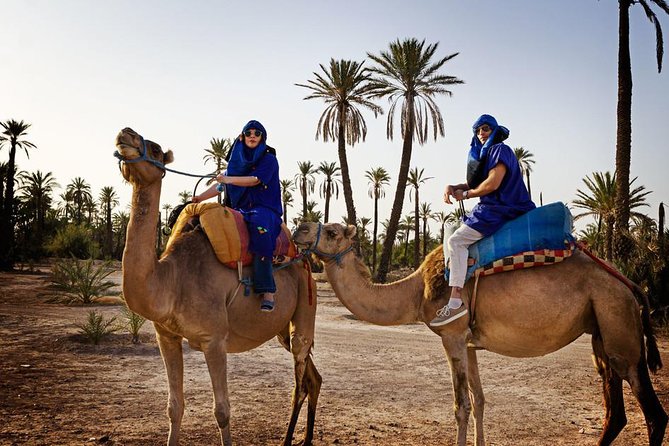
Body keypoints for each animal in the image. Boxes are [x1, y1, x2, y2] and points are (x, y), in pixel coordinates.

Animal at [114, 127, 321, 446]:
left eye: (156, 148)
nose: (126, 133)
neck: (172, 280)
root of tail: (305, 262)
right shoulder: (167, 337)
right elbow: (174, 407)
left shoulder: (214, 340)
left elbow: (222, 411)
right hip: (281, 330)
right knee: (313, 378)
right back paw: (306, 438)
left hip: (305, 307)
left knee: (300, 380)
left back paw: (288, 439)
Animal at [292, 221, 667, 446]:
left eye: (332, 232)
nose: (298, 227)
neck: (414, 292)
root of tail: (630, 284)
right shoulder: (470, 344)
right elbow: (479, 400)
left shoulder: (452, 336)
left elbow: (461, 405)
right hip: (601, 330)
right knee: (615, 410)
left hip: (619, 324)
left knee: (653, 413)